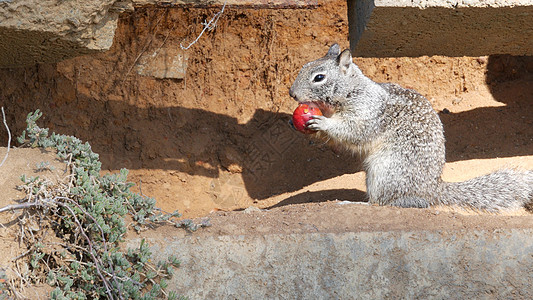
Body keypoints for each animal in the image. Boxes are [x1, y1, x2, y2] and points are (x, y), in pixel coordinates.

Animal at [288, 44, 532, 211]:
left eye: (319, 77)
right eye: (303, 67)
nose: (292, 93)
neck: (351, 90)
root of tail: (432, 190)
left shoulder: (367, 112)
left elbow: (353, 132)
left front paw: (322, 122)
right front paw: (295, 122)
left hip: (385, 171)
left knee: (382, 203)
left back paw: (353, 203)